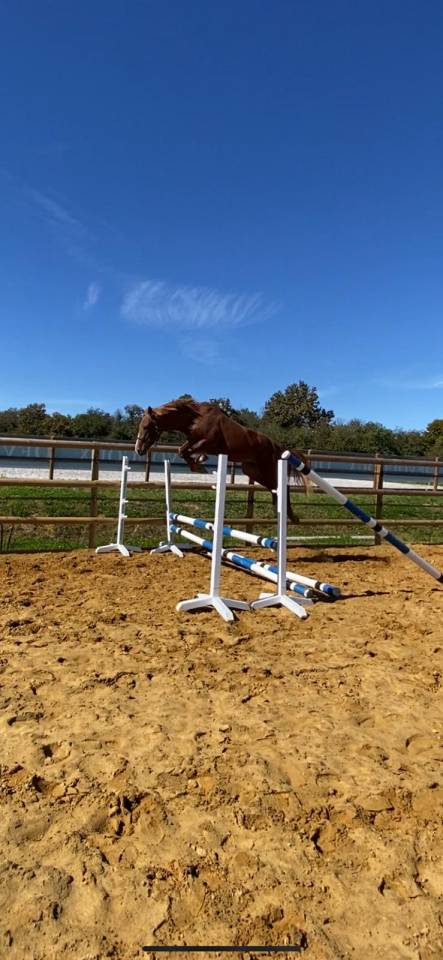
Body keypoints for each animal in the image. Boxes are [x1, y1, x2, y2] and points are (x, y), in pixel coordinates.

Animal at [135, 397, 307, 522]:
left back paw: (292, 516)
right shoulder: (193, 441)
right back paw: (280, 512)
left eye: (146, 427)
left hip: (267, 469)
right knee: (275, 488)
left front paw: (199, 464)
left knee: (283, 487)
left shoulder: (208, 442)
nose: (138, 449)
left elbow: (186, 451)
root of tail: (276, 447)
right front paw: (199, 462)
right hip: (252, 471)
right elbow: (182, 450)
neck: (195, 419)